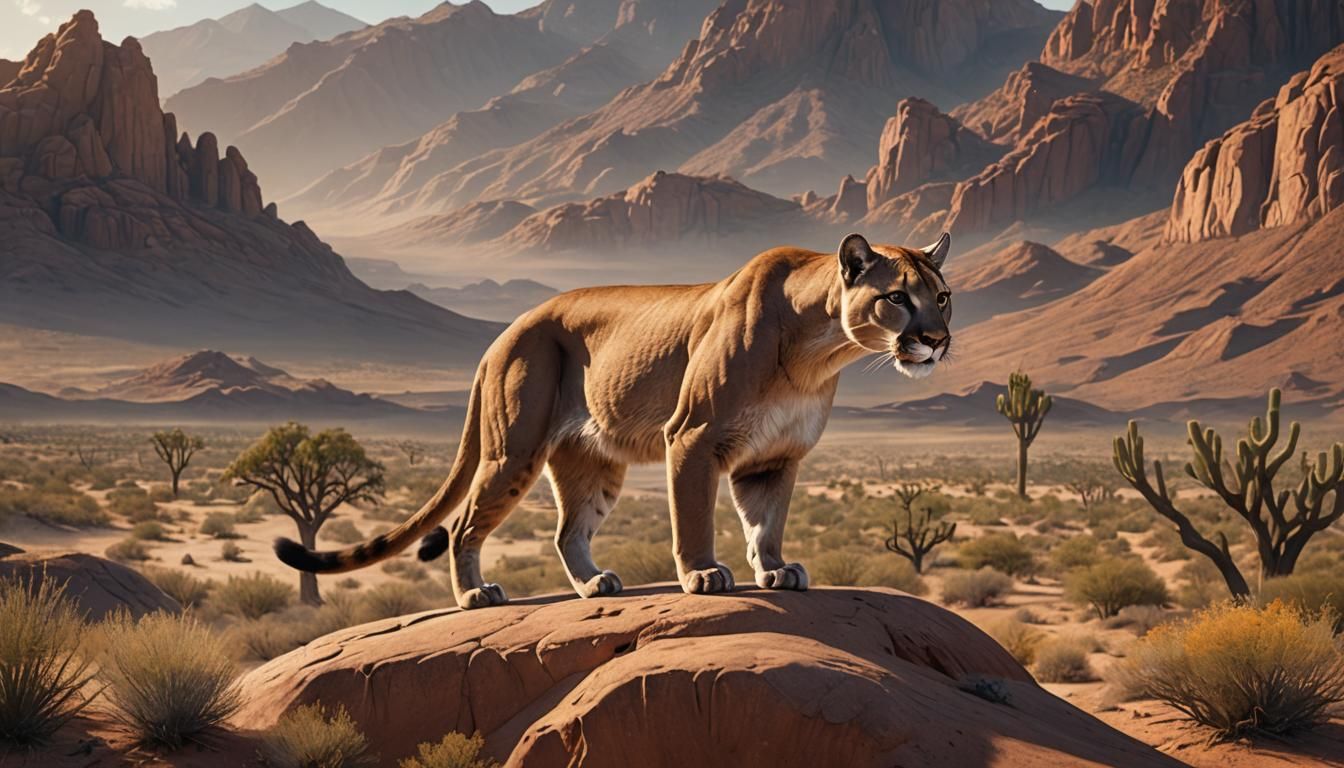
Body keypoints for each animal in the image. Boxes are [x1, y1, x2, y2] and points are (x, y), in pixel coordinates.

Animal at [276, 233, 954, 609]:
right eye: (896, 297)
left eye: (942, 297)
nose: (936, 340)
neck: (820, 349)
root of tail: (502, 336)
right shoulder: (693, 437)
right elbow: (693, 516)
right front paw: (704, 574)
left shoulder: (773, 458)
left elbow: (766, 523)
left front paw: (776, 570)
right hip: (512, 450)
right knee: (467, 521)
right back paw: (474, 595)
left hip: (592, 461)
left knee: (566, 531)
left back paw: (593, 584)